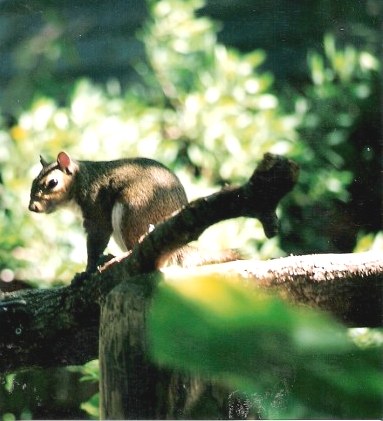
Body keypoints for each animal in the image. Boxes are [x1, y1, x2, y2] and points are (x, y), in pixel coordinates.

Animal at [29, 152, 237, 272]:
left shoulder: (97, 211)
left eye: (53, 183)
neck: (83, 180)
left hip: (133, 212)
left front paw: (87, 270)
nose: (32, 207)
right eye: (33, 181)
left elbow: (97, 239)